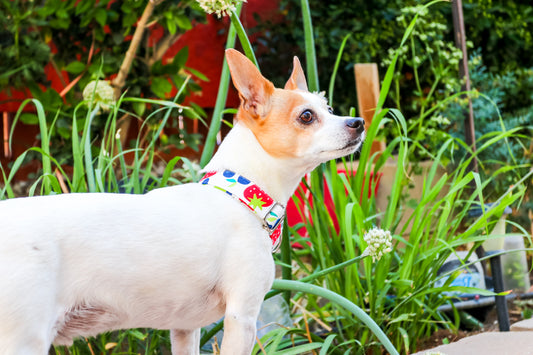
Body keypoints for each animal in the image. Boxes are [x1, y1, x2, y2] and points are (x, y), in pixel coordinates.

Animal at [0, 48, 364, 355]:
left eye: (330, 110)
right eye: (306, 117)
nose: (357, 122)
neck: (239, 194)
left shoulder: (185, 328)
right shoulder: (242, 318)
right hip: (25, 340)